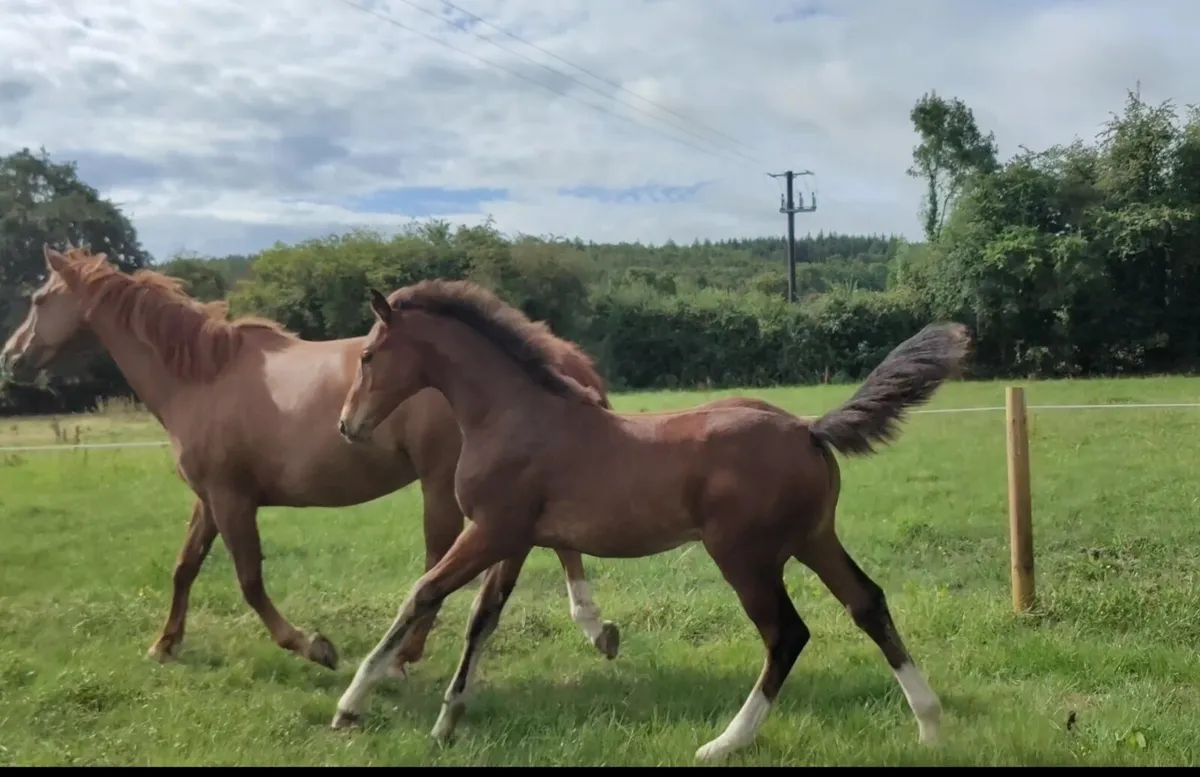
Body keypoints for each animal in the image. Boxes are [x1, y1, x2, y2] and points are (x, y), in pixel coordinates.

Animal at [0, 246, 622, 676]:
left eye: (37, 299)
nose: (12, 358)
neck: (202, 377)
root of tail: (557, 352)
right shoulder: (209, 498)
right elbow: (185, 567)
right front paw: (164, 644)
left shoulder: (232, 500)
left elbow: (249, 581)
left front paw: (314, 646)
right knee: (558, 542)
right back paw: (595, 629)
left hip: (443, 487)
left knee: (441, 561)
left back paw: (407, 654)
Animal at [330, 279, 970, 762]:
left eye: (367, 356)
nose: (346, 426)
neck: (513, 414)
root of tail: (807, 428)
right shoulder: (512, 540)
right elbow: (481, 621)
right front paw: (446, 723)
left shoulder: (489, 532)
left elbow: (423, 593)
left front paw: (351, 705)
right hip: (814, 540)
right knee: (867, 604)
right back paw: (930, 723)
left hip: (745, 556)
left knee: (787, 634)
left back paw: (725, 743)